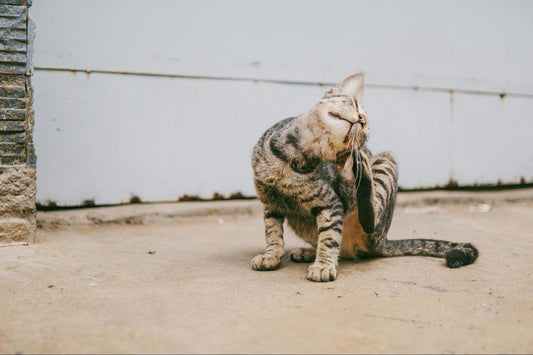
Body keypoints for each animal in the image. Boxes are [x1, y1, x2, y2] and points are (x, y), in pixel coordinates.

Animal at [249, 73, 478, 282]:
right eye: (354, 104)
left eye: (365, 128)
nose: (361, 119)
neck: (292, 157)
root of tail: (383, 240)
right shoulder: (270, 203)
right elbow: (273, 233)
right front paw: (271, 255)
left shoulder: (331, 204)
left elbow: (330, 238)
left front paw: (323, 265)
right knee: (338, 247)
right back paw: (308, 251)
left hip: (385, 166)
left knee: (369, 218)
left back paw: (361, 167)